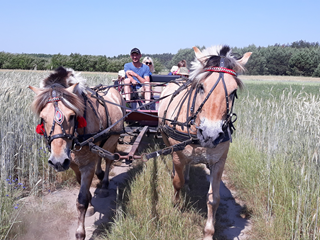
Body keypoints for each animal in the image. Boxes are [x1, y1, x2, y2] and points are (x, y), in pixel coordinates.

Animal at [28, 67, 125, 240]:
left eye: (72, 116)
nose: (58, 161)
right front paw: (91, 203)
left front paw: (80, 232)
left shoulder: (87, 166)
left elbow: (81, 201)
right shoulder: (73, 164)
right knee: (99, 157)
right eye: (42, 118)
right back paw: (100, 175)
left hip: (113, 141)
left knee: (108, 160)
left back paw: (104, 184)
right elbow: (82, 187)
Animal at [159, 46, 251, 239]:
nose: (210, 133)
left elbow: (213, 198)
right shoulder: (178, 154)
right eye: (201, 87)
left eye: (233, 92)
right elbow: (177, 182)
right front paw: (176, 204)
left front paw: (208, 232)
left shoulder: (219, 162)